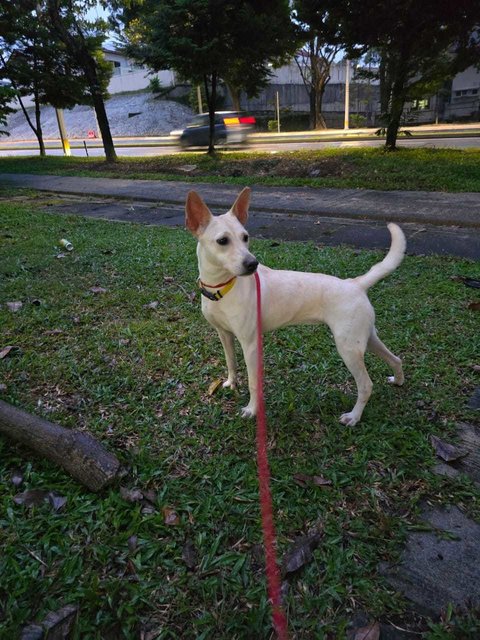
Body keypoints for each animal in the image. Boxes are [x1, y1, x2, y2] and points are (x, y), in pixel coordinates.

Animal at [185, 186, 404, 424]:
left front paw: (252, 410)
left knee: (366, 384)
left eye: (245, 237)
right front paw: (231, 383)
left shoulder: (250, 344)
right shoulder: (224, 334)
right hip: (365, 338)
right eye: (223, 241)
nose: (253, 264)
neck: (223, 287)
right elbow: (231, 362)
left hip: (348, 348)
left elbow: (253, 382)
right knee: (396, 359)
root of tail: (355, 284)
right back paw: (398, 380)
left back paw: (354, 416)